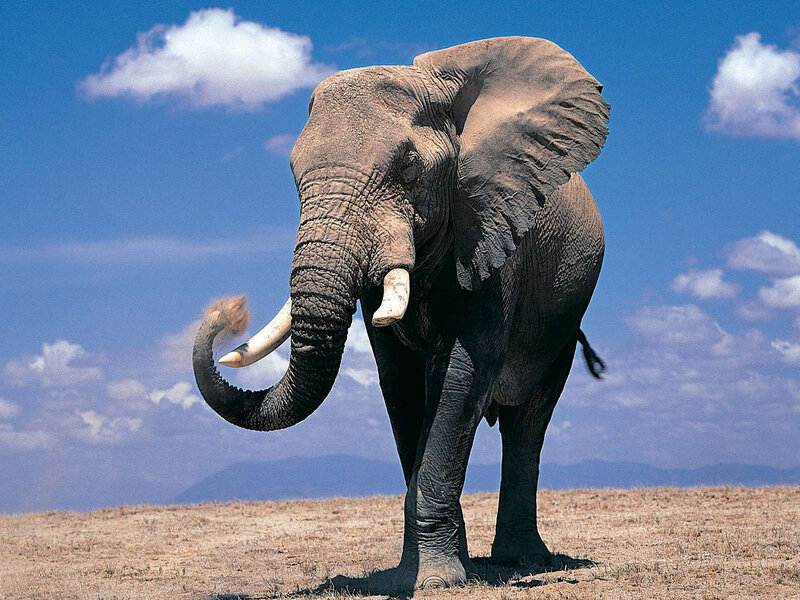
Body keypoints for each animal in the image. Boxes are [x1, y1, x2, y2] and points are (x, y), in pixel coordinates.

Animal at [193, 36, 609, 592]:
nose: (229, 311)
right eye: (294, 175)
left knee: (528, 422)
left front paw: (436, 583)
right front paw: (417, 576)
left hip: (561, 321)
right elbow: (401, 384)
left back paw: (522, 562)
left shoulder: (492, 232)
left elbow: (459, 374)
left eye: (409, 169)